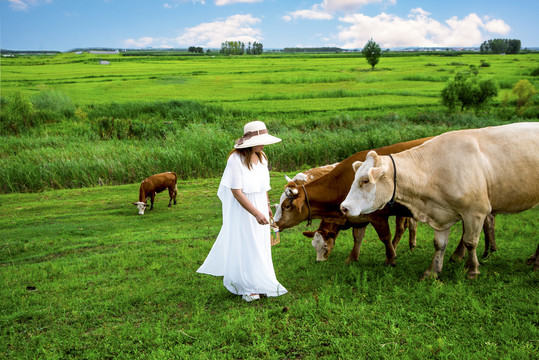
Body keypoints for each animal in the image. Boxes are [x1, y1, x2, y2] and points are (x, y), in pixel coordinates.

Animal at [342, 122, 539, 280]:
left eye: (365, 180)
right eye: (354, 179)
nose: (344, 207)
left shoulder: (476, 211)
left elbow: (470, 242)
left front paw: (472, 270)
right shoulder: (440, 215)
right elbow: (439, 245)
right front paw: (433, 271)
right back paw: (534, 260)